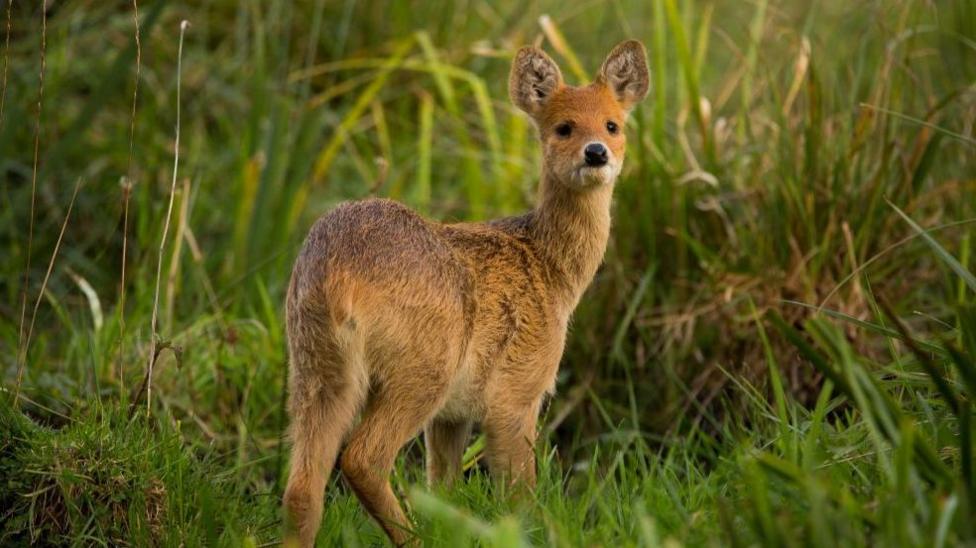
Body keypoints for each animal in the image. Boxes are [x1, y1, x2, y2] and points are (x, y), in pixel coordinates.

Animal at [282, 40, 649, 546]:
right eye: (563, 127)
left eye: (613, 125)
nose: (596, 153)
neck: (551, 270)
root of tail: (335, 271)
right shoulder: (516, 393)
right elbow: (519, 495)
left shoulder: (452, 417)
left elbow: (444, 488)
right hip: (421, 368)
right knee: (362, 458)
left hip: (314, 368)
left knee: (302, 487)